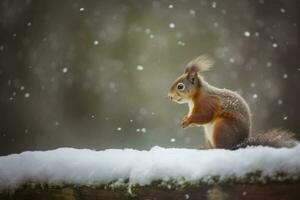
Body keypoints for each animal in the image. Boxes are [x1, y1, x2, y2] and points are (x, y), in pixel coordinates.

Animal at [169, 55, 298, 149]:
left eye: (180, 86)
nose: (169, 96)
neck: (194, 98)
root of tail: (238, 145)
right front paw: (185, 120)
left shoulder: (208, 102)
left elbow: (205, 116)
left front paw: (188, 120)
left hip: (222, 127)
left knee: (223, 147)